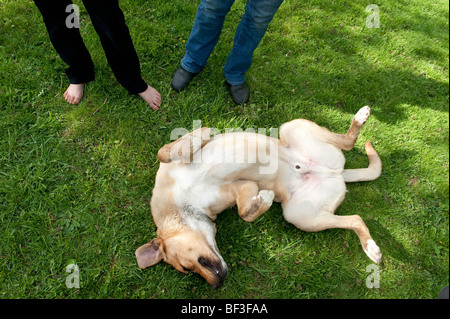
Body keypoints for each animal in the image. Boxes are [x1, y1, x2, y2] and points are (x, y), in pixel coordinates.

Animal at [135, 107, 382, 290]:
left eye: (185, 268)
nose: (217, 284)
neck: (180, 204)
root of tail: (337, 172)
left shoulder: (175, 161)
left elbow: (165, 151)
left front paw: (196, 139)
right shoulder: (241, 187)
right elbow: (245, 213)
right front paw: (264, 199)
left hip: (292, 127)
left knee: (347, 143)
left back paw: (360, 117)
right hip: (300, 215)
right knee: (355, 218)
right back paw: (370, 247)